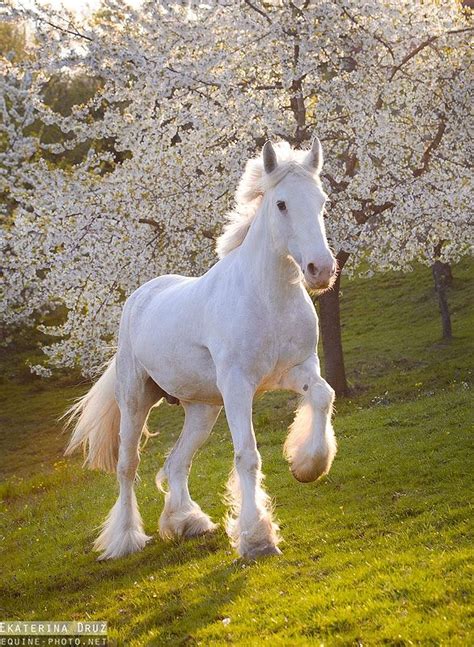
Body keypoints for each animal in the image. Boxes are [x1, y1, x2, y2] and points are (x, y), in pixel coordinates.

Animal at [65, 138, 336, 560]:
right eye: (281, 204)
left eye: (321, 200)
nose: (321, 270)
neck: (268, 297)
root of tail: (140, 296)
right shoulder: (238, 385)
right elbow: (247, 455)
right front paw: (257, 539)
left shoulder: (298, 369)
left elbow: (324, 396)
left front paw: (307, 466)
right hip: (135, 399)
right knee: (128, 466)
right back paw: (125, 540)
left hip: (202, 408)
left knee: (176, 462)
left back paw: (186, 522)